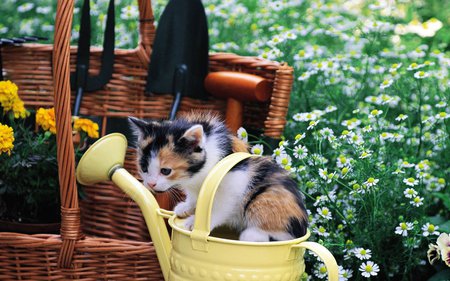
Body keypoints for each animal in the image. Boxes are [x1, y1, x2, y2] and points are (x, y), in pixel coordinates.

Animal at [128, 112, 308, 241]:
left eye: (165, 171)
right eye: (144, 168)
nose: (150, 184)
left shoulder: (234, 181)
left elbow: (221, 206)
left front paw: (195, 222)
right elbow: (195, 196)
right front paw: (187, 207)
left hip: (267, 196)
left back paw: (253, 235)